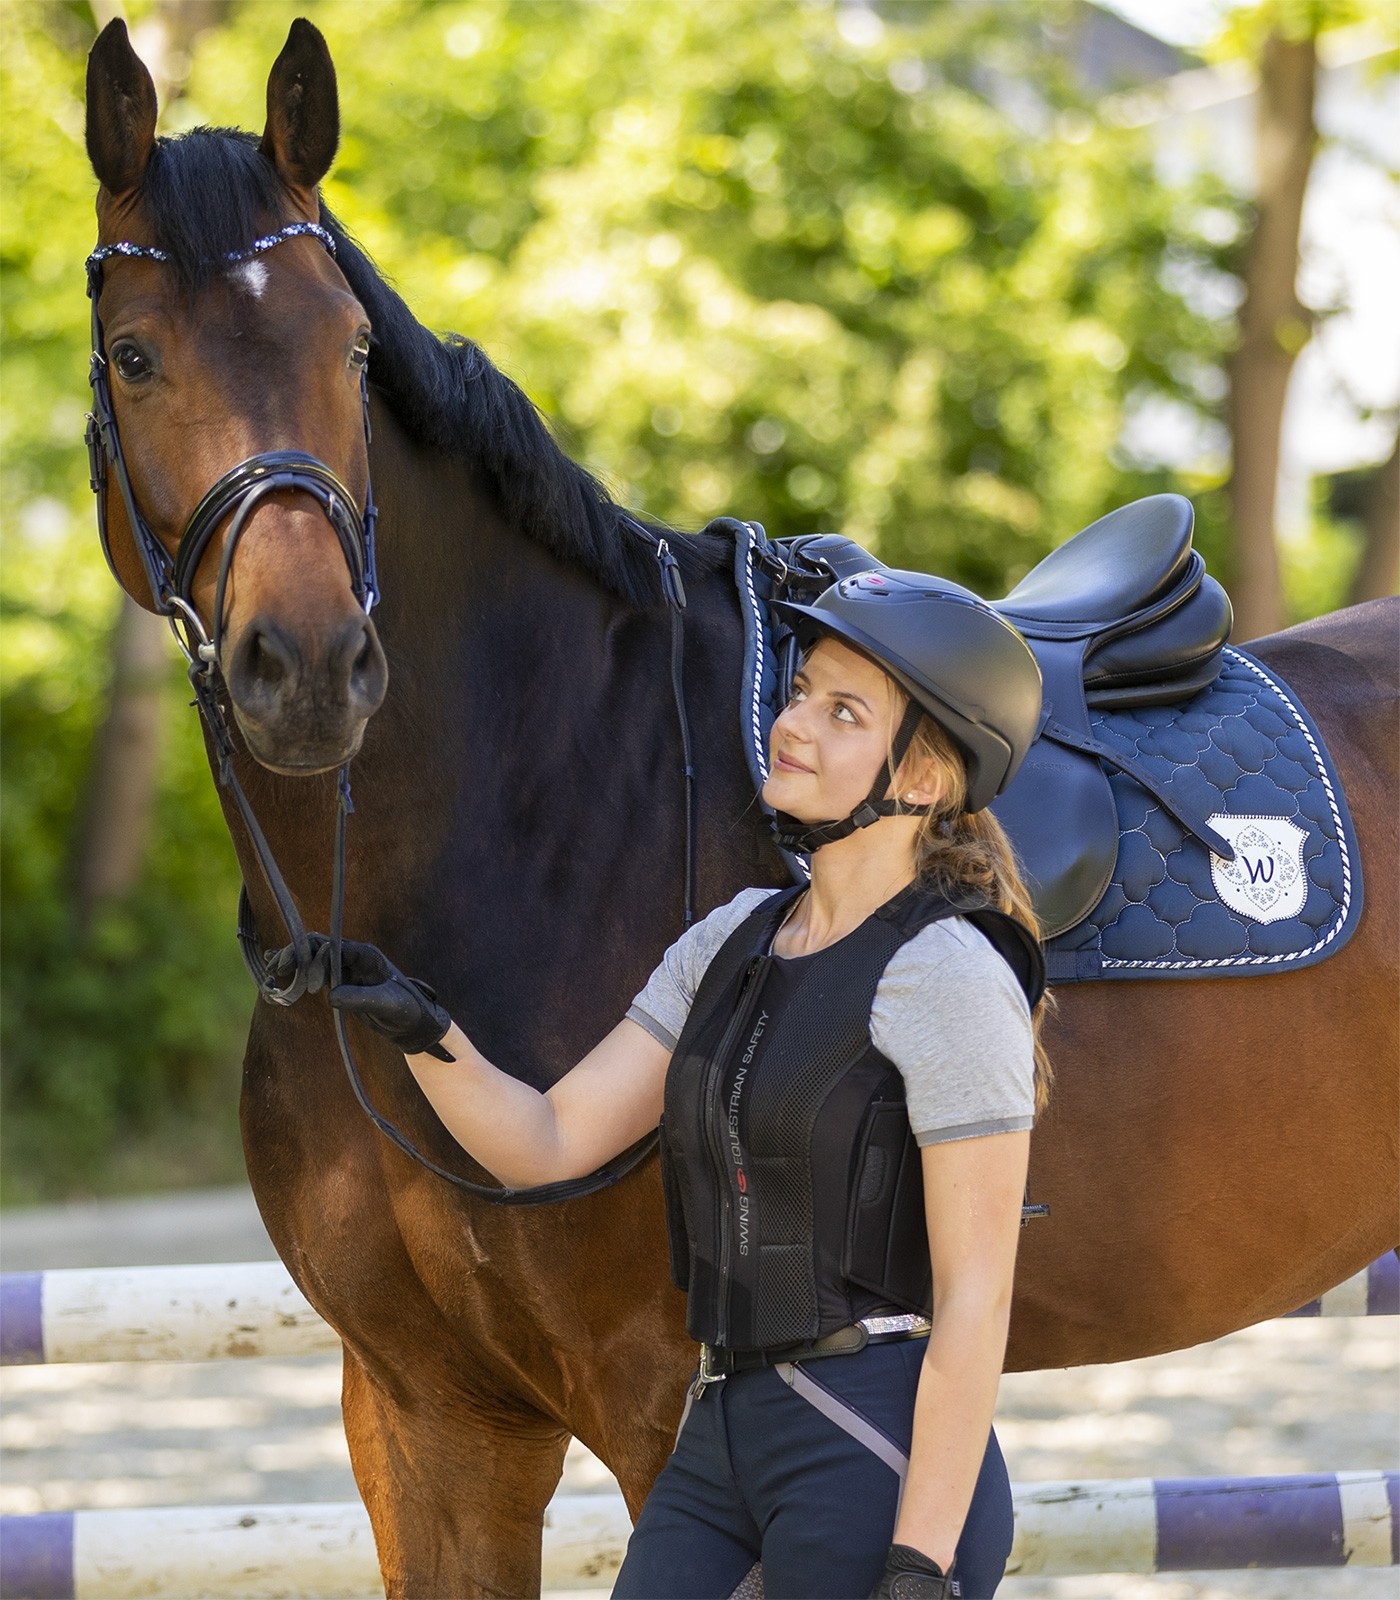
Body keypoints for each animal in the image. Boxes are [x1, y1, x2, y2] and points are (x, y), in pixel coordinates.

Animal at [82, 15, 1395, 1600]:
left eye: (348, 348)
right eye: (134, 355)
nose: (314, 667)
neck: (526, 820)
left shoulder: (659, 1402)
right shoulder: (422, 1414)